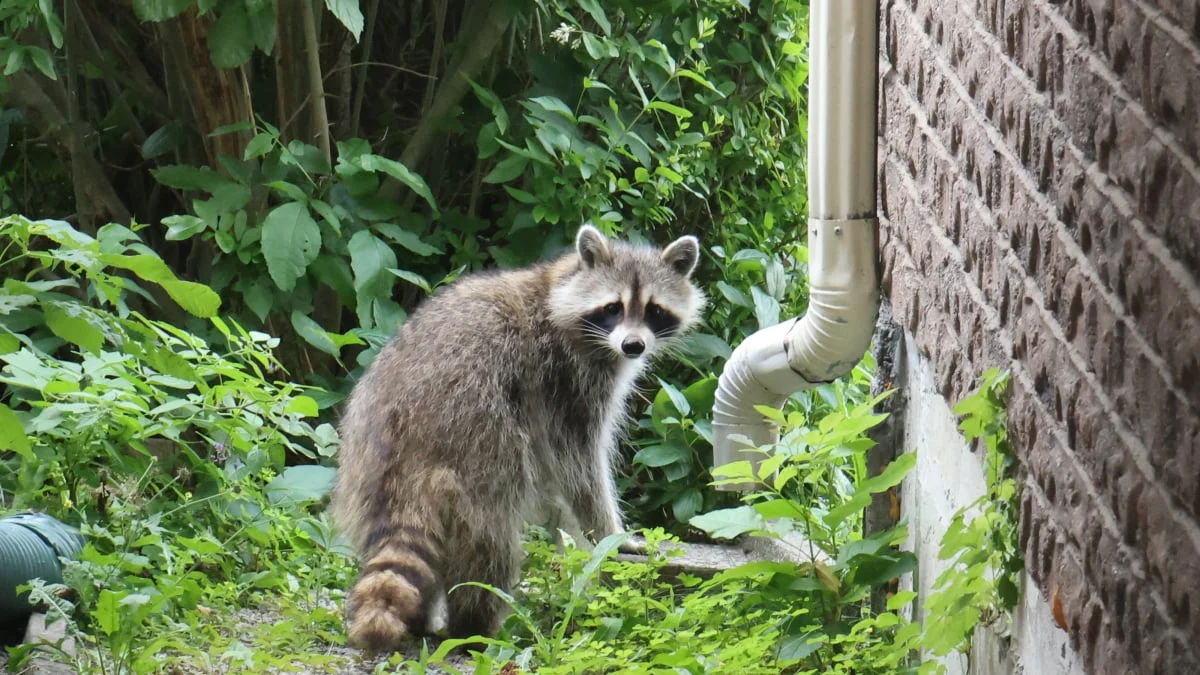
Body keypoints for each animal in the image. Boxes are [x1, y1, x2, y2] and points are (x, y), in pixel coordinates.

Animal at [330, 224, 706, 651]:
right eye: (613, 307)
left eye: (654, 310)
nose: (633, 346)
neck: (558, 285)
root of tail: (403, 444)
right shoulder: (564, 376)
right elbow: (578, 465)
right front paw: (609, 532)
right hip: (478, 437)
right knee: (492, 540)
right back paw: (475, 625)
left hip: (360, 461)